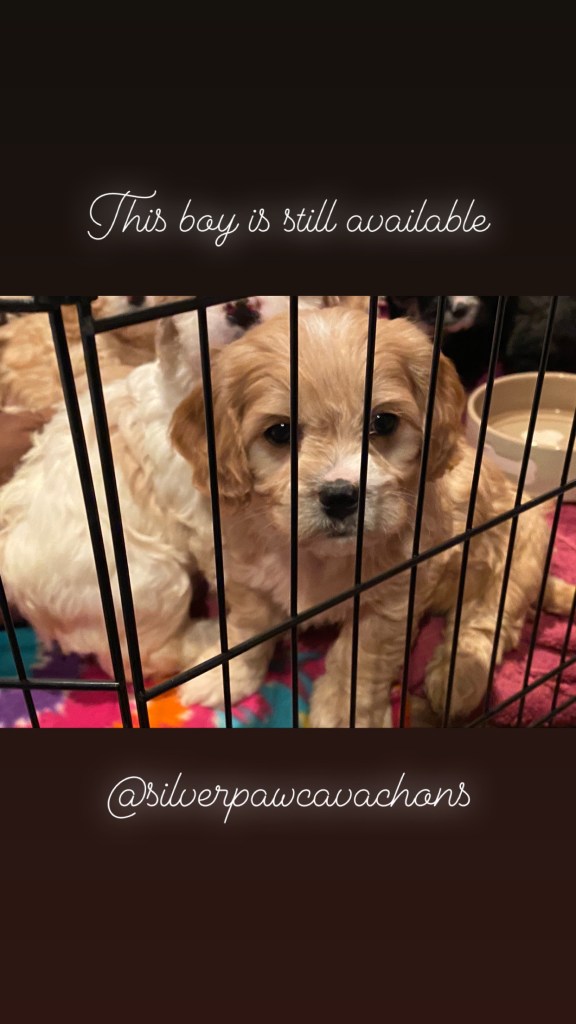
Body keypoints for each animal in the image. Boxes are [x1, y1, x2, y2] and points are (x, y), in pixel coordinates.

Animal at [171, 307, 573, 726]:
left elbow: (359, 662)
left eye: (384, 422)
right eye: (279, 432)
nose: (340, 497)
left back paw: (457, 681)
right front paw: (225, 677)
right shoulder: (249, 573)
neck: (319, 557)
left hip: (518, 554)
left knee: (488, 620)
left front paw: (341, 712)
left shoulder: (388, 601)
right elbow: (247, 628)